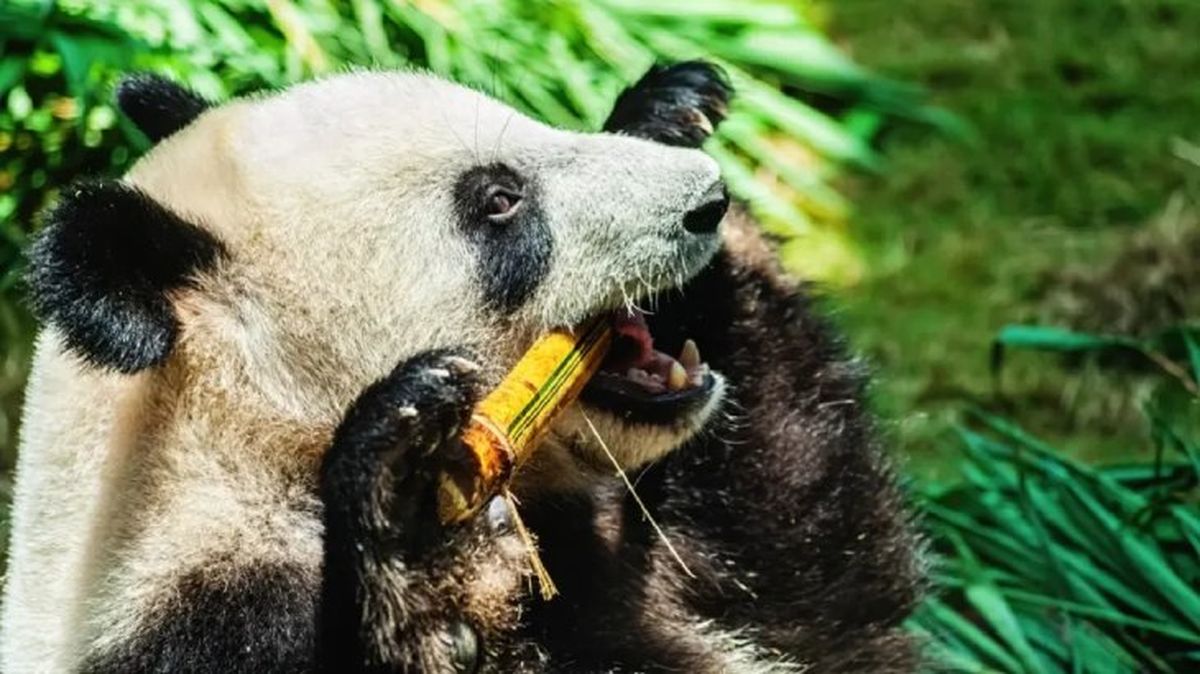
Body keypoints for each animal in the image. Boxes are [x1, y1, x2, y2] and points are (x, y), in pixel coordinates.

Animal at [0, 62, 923, 672]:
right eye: (499, 201)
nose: (706, 199)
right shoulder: (201, 620)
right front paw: (408, 499)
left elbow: (828, 589)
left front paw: (669, 112)